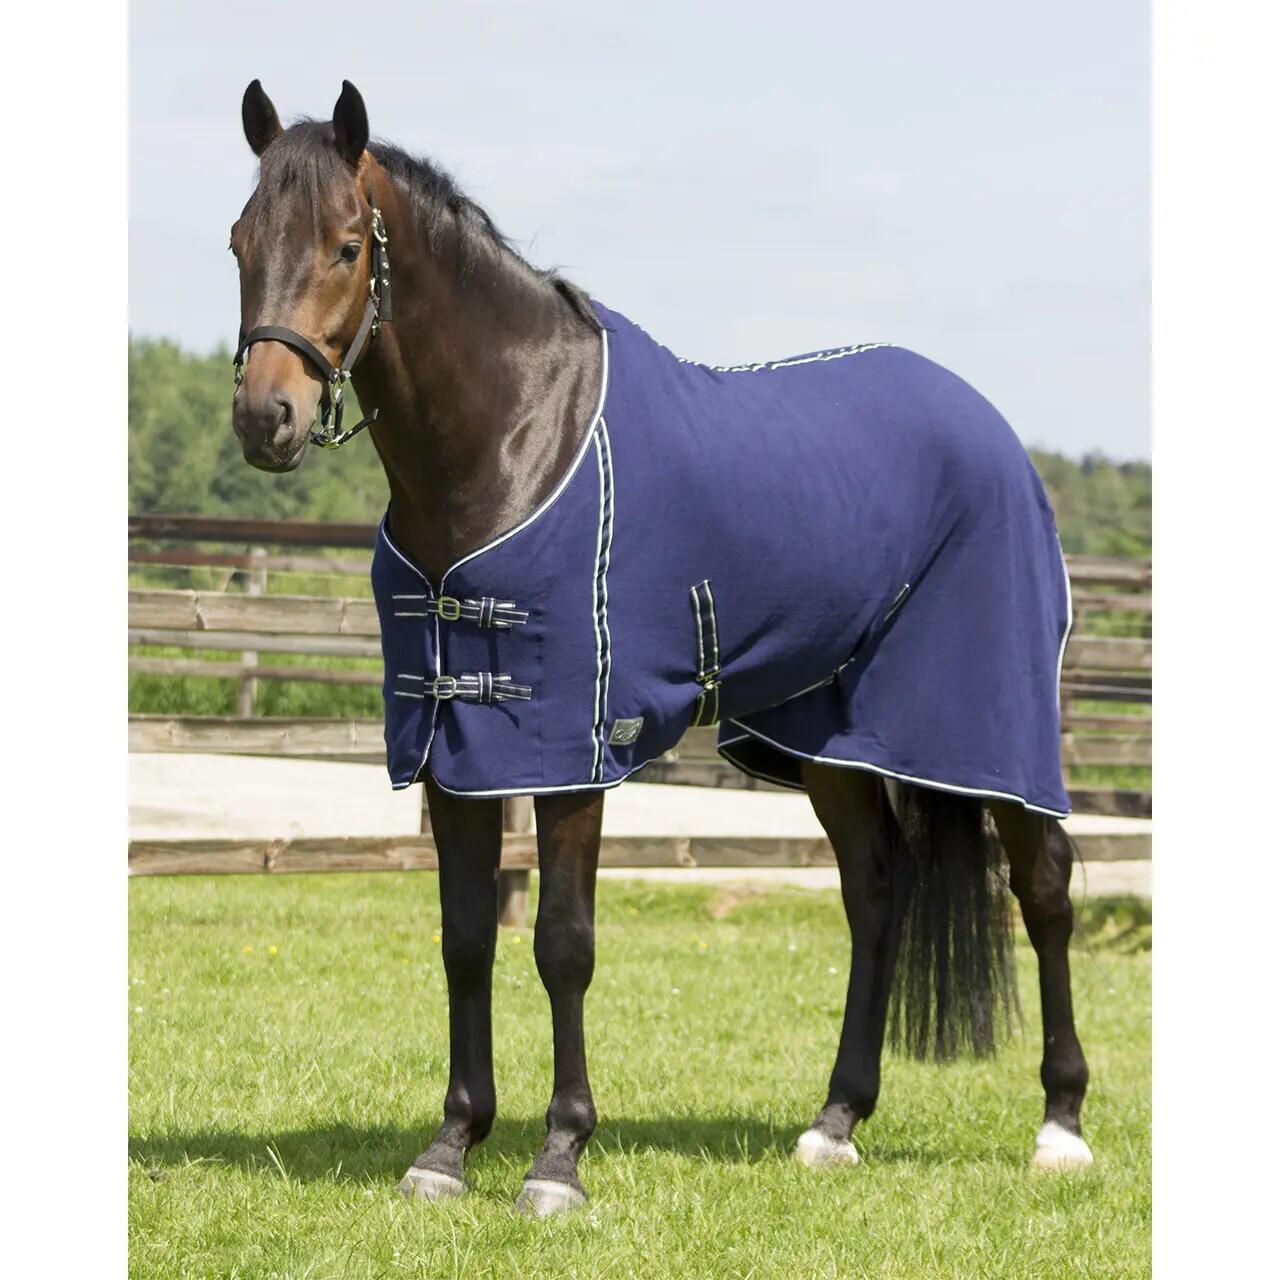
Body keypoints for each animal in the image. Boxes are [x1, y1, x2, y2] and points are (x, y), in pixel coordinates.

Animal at [229, 80, 1093, 1217]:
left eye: (341, 245)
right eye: (240, 241)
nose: (265, 418)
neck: (511, 436)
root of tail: (993, 428)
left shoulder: (570, 743)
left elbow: (561, 943)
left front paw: (558, 1158)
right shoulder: (452, 743)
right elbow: (465, 941)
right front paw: (449, 1146)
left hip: (991, 721)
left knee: (1044, 888)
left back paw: (1061, 1126)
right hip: (827, 739)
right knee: (874, 893)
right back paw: (834, 1122)